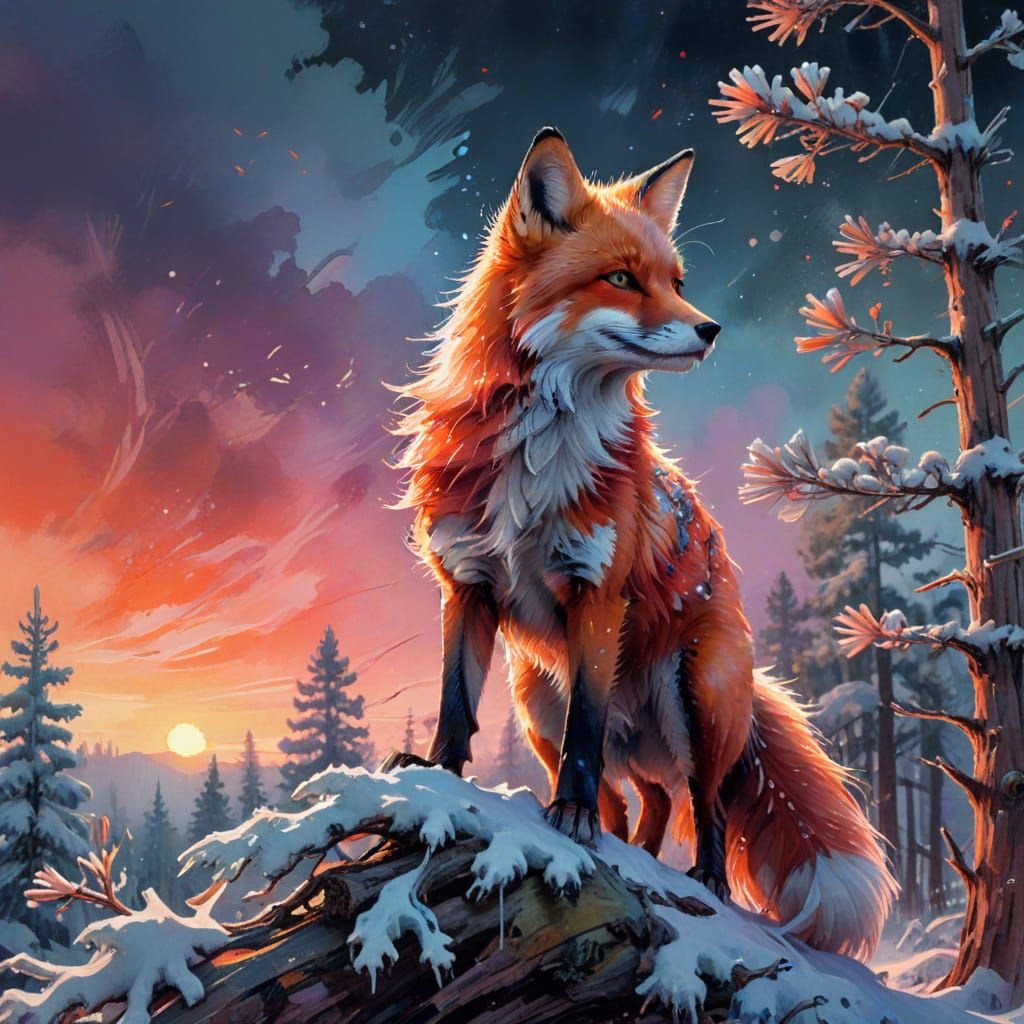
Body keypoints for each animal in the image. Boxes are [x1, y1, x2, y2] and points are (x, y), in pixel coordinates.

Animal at [394, 127, 897, 959]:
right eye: (623, 279)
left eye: (675, 280)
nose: (710, 329)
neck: (539, 456)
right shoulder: (465, 583)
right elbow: (455, 705)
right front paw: (438, 776)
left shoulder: (597, 593)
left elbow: (588, 732)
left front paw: (566, 817)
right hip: (536, 700)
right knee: (644, 804)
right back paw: (628, 846)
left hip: (693, 694)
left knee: (705, 802)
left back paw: (703, 881)